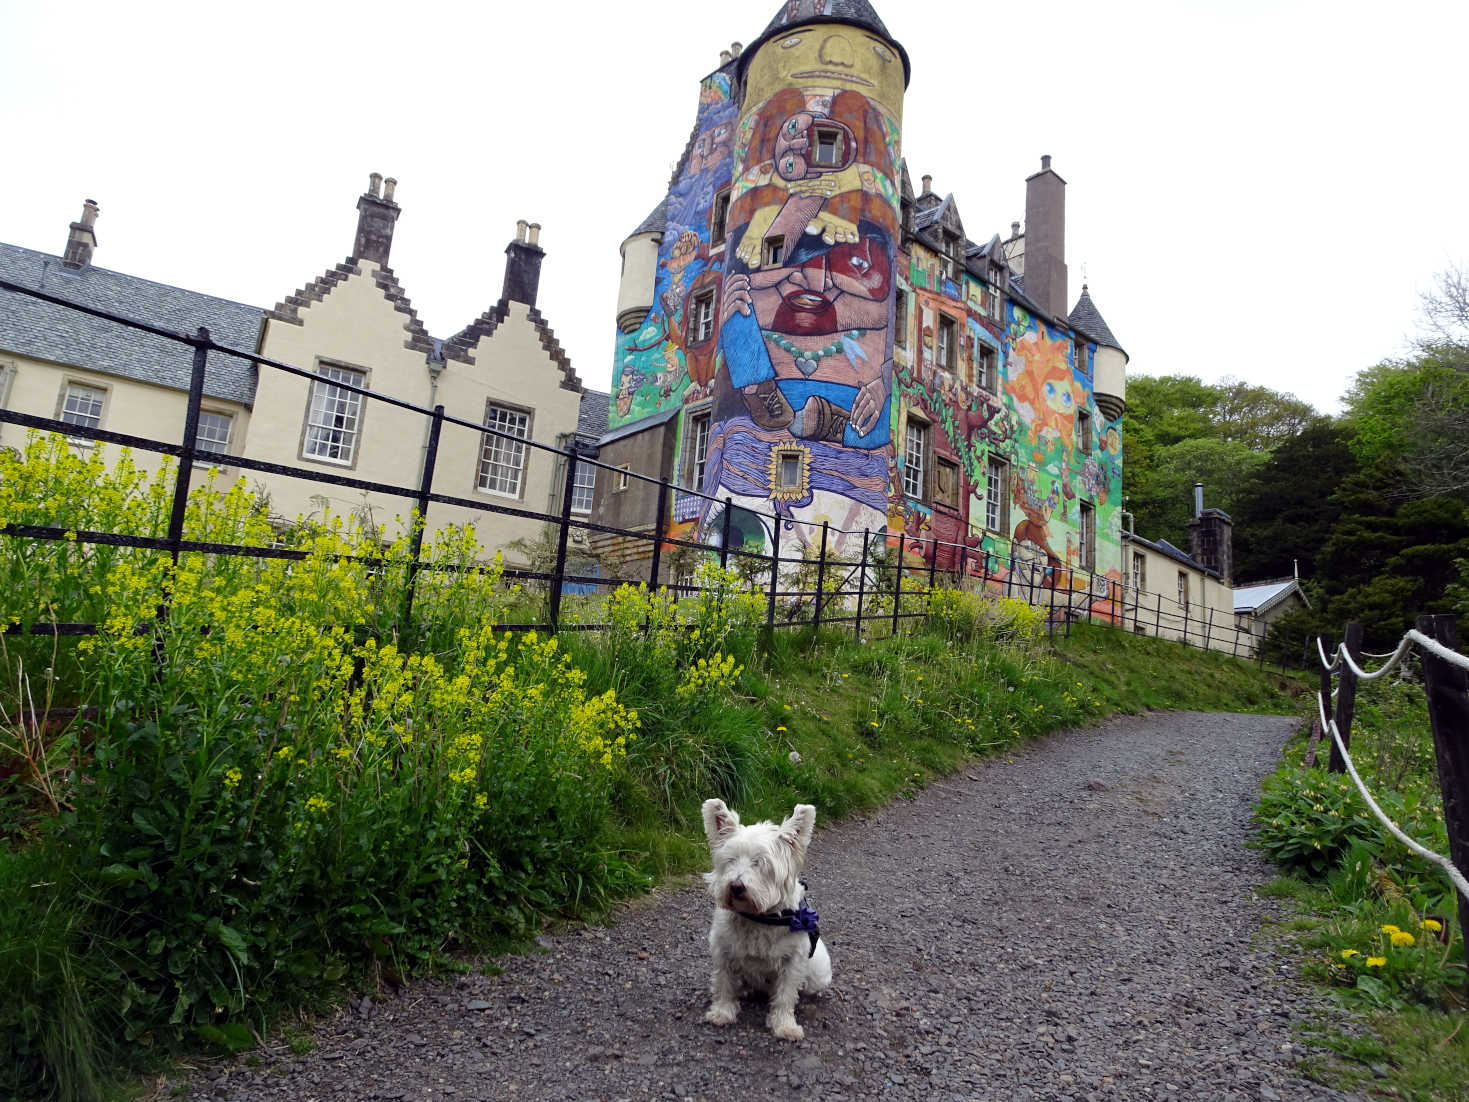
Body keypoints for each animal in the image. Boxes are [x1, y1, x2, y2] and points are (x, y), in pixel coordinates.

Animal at [702, 799, 834, 1040]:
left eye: (760, 863)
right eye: (731, 860)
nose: (736, 886)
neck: (759, 918)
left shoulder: (793, 961)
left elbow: (785, 995)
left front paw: (785, 1026)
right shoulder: (724, 951)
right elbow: (724, 984)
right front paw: (722, 1013)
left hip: (817, 974)